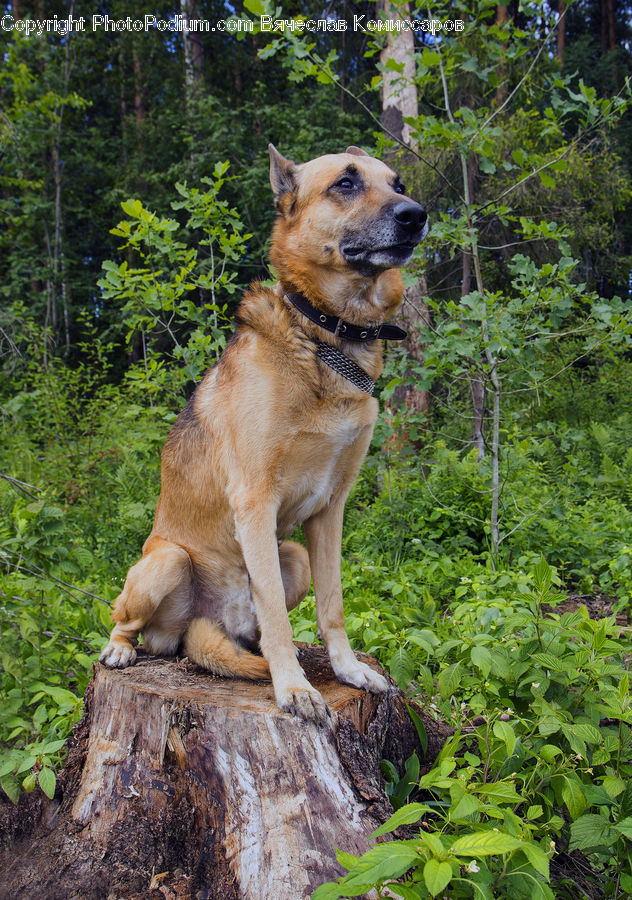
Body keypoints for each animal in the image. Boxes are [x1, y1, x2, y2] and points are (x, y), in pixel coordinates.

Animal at [99, 148, 428, 724]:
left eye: (398, 184)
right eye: (345, 183)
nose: (417, 214)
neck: (326, 337)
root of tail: (197, 628)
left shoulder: (331, 510)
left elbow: (332, 606)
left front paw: (347, 670)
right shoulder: (254, 500)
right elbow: (275, 612)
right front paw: (293, 688)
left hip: (290, 555)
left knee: (253, 627)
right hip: (166, 561)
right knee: (128, 620)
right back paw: (120, 649)